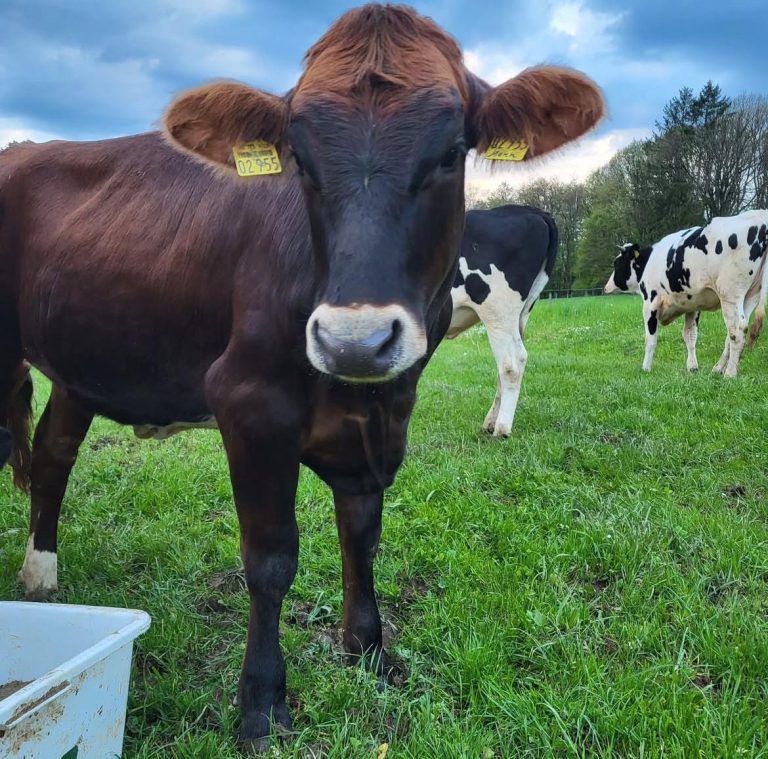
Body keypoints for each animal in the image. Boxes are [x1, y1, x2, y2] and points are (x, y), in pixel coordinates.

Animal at [446, 205, 558, 437]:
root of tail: (532, 211)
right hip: (519, 313)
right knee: (506, 364)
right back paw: (490, 422)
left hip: (497, 310)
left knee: (511, 364)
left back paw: (502, 428)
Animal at [604, 210, 768, 377]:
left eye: (617, 264)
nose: (605, 287)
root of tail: (760, 217)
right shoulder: (692, 305)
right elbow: (690, 335)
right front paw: (692, 367)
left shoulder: (650, 302)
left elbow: (650, 338)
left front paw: (646, 368)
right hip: (750, 295)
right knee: (732, 334)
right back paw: (718, 368)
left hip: (730, 294)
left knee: (737, 330)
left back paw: (729, 373)